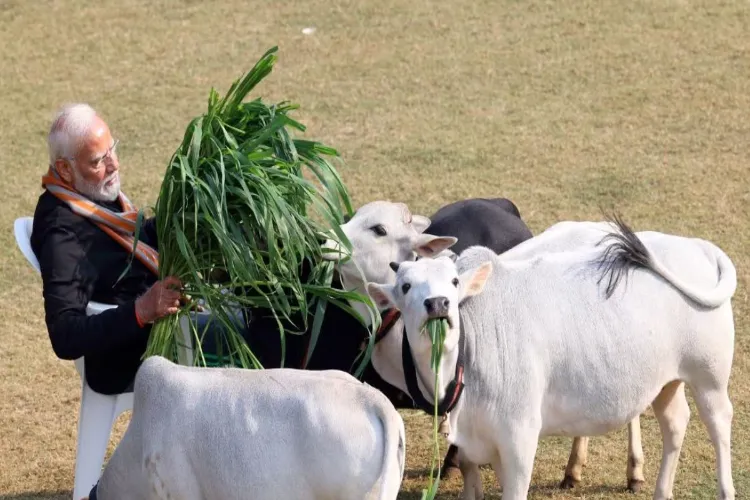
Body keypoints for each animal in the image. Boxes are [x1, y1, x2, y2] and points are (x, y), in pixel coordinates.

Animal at [366, 216, 737, 500]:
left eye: (454, 282)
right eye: (405, 286)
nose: (438, 303)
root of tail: (696, 246)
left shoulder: (519, 437)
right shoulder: (472, 444)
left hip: (709, 377)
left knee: (719, 423)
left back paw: (725, 489)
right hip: (666, 380)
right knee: (675, 422)